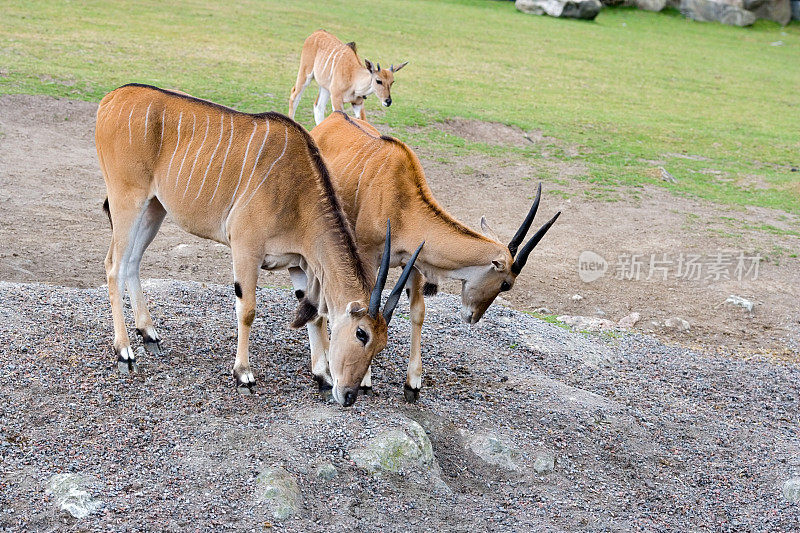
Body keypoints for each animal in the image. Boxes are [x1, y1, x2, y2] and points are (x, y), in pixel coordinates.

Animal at [95, 84, 418, 408]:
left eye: (382, 344)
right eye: (361, 334)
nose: (349, 395)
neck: (298, 190)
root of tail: (111, 99)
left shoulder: (297, 263)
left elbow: (315, 315)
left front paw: (323, 379)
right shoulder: (245, 249)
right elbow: (247, 309)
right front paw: (244, 375)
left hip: (153, 208)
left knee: (131, 262)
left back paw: (149, 334)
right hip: (127, 202)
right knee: (113, 265)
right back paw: (124, 352)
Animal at [302, 112, 564, 402]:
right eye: (506, 284)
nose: (473, 317)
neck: (401, 201)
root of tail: (333, 118)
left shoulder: (413, 262)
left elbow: (418, 312)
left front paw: (412, 384)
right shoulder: (367, 257)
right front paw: (366, 379)